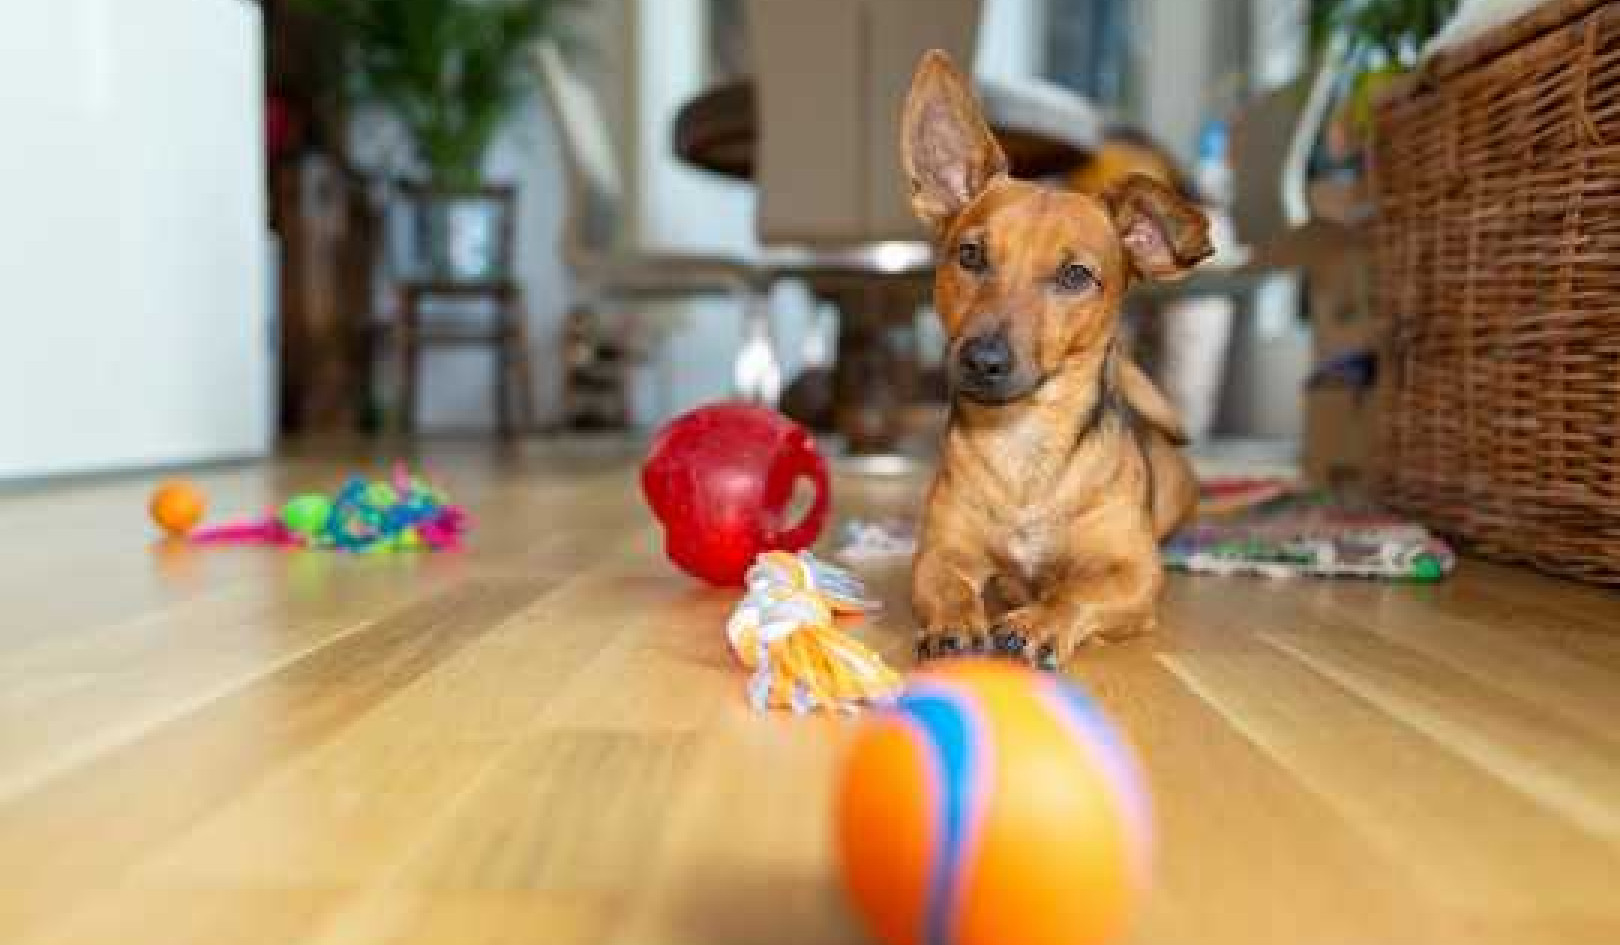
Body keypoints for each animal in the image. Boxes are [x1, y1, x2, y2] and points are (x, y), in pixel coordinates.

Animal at [907, 51, 1211, 667]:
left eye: (1075, 276)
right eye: (969, 255)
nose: (983, 359)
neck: (1025, 445)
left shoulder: (1134, 573)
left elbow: (1078, 591)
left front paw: (1041, 621)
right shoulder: (940, 552)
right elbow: (947, 585)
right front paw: (954, 620)